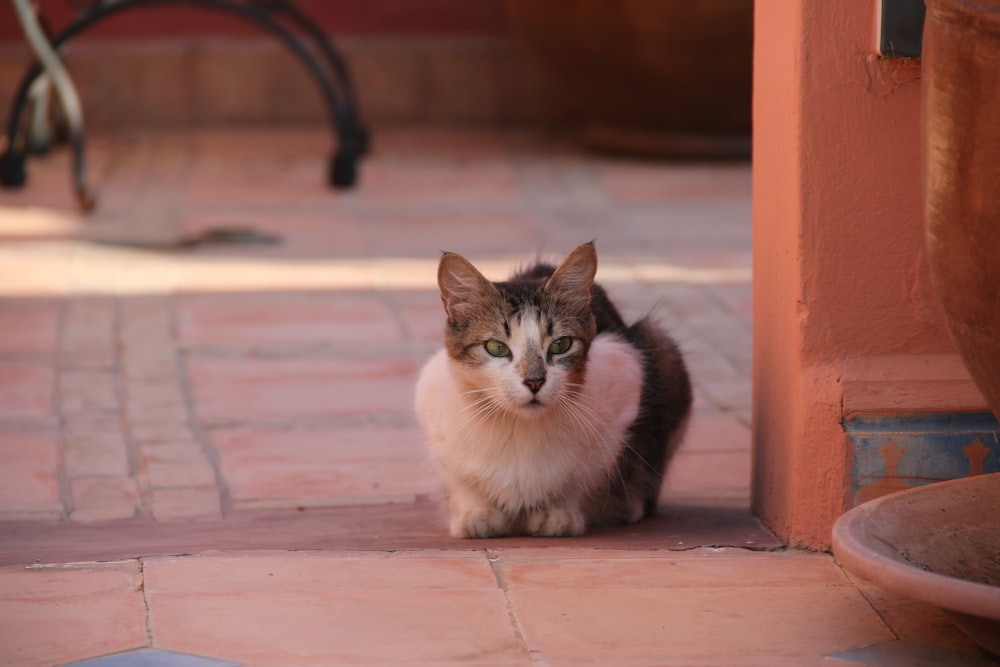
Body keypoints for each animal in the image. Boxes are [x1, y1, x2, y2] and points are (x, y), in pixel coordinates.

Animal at [412, 243, 688, 540]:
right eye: (496, 347)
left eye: (561, 344)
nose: (534, 381)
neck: (520, 430)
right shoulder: (432, 409)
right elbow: (461, 481)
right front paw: (477, 513)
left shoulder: (626, 385)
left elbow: (582, 480)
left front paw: (557, 513)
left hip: (662, 344)